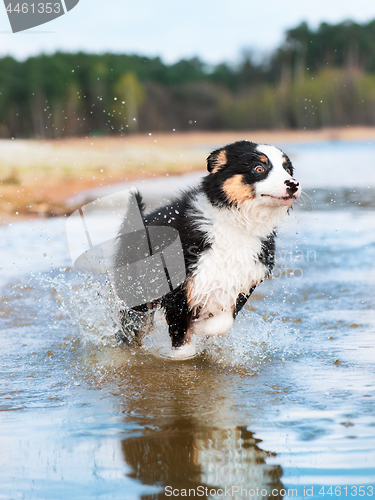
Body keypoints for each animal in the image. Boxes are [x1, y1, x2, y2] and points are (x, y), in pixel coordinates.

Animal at [116, 141, 302, 360]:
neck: (236, 225)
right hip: (137, 293)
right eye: (259, 168)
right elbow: (181, 335)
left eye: (287, 170)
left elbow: (223, 322)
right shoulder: (179, 288)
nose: (293, 184)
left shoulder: (243, 282)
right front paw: (183, 352)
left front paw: (201, 326)